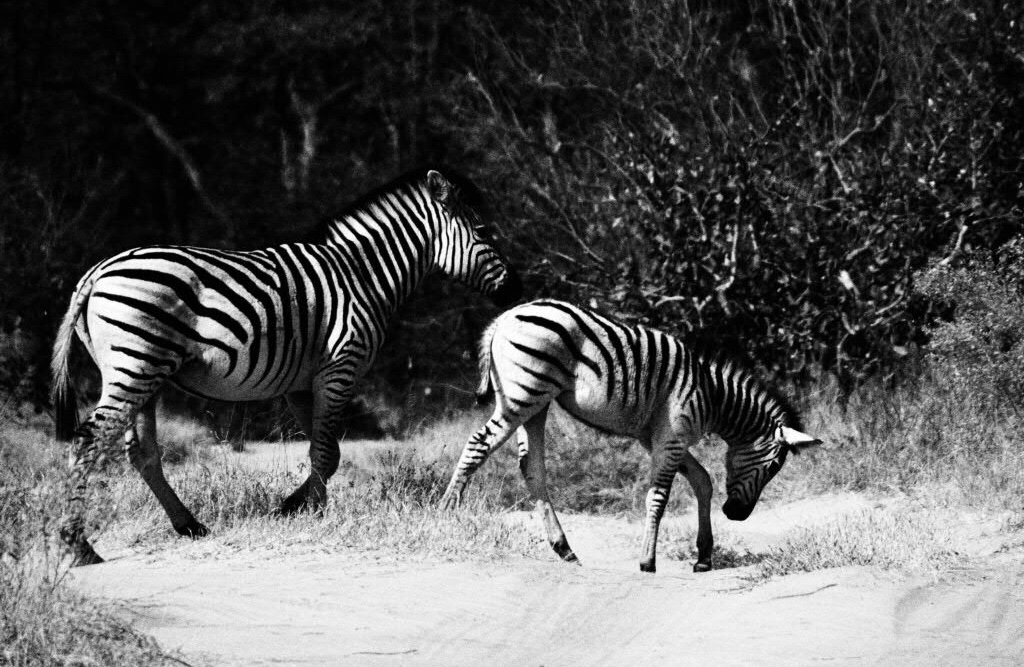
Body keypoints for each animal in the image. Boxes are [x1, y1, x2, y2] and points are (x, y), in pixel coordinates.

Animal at [51, 168, 522, 566]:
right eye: (483, 232)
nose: (517, 289)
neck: (362, 274)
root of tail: (98, 271)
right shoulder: (340, 367)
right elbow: (325, 451)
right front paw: (310, 510)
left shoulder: (301, 382)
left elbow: (326, 454)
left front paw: (295, 506)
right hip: (136, 364)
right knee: (88, 441)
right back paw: (78, 546)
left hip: (144, 372)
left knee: (141, 452)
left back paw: (188, 524)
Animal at [440, 299, 820, 573]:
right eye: (773, 468)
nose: (736, 515)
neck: (712, 396)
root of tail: (505, 318)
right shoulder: (673, 436)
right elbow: (659, 497)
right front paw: (647, 561)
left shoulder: (659, 438)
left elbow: (703, 481)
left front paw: (704, 557)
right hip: (523, 395)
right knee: (478, 444)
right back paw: (444, 512)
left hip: (536, 403)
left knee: (531, 467)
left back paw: (565, 549)